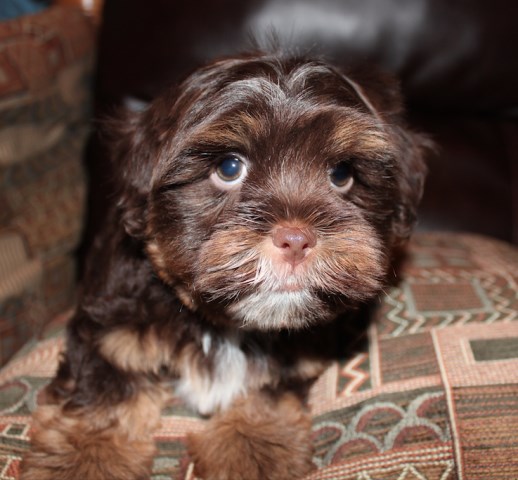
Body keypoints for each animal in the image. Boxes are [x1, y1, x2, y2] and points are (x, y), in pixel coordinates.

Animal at [22, 51, 428, 480]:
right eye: (229, 168)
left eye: (342, 174)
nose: (296, 238)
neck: (218, 324)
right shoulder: (110, 330)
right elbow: (101, 396)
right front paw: (86, 458)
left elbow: (265, 389)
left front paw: (254, 446)